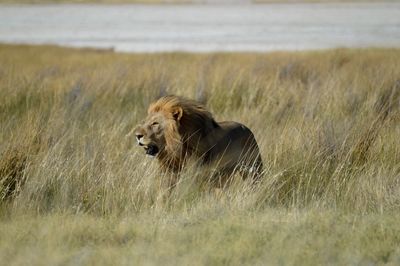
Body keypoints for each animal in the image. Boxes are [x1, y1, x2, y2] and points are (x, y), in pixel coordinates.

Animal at [134, 95, 264, 185]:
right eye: (145, 122)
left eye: (155, 123)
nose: (137, 135)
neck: (175, 149)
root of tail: (246, 128)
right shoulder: (169, 174)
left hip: (253, 169)